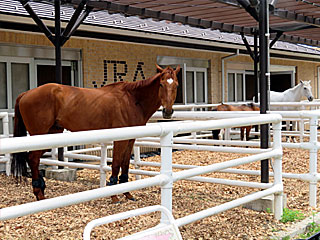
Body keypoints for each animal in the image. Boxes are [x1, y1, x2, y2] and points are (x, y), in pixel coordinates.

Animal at [11, 64, 180, 202]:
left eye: (176, 85)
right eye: (161, 84)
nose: (168, 112)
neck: (132, 99)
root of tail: (25, 94)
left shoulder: (130, 138)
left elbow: (125, 163)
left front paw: (127, 193)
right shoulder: (119, 140)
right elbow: (116, 164)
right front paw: (114, 195)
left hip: (51, 135)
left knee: (33, 158)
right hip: (40, 135)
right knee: (33, 159)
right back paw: (39, 194)